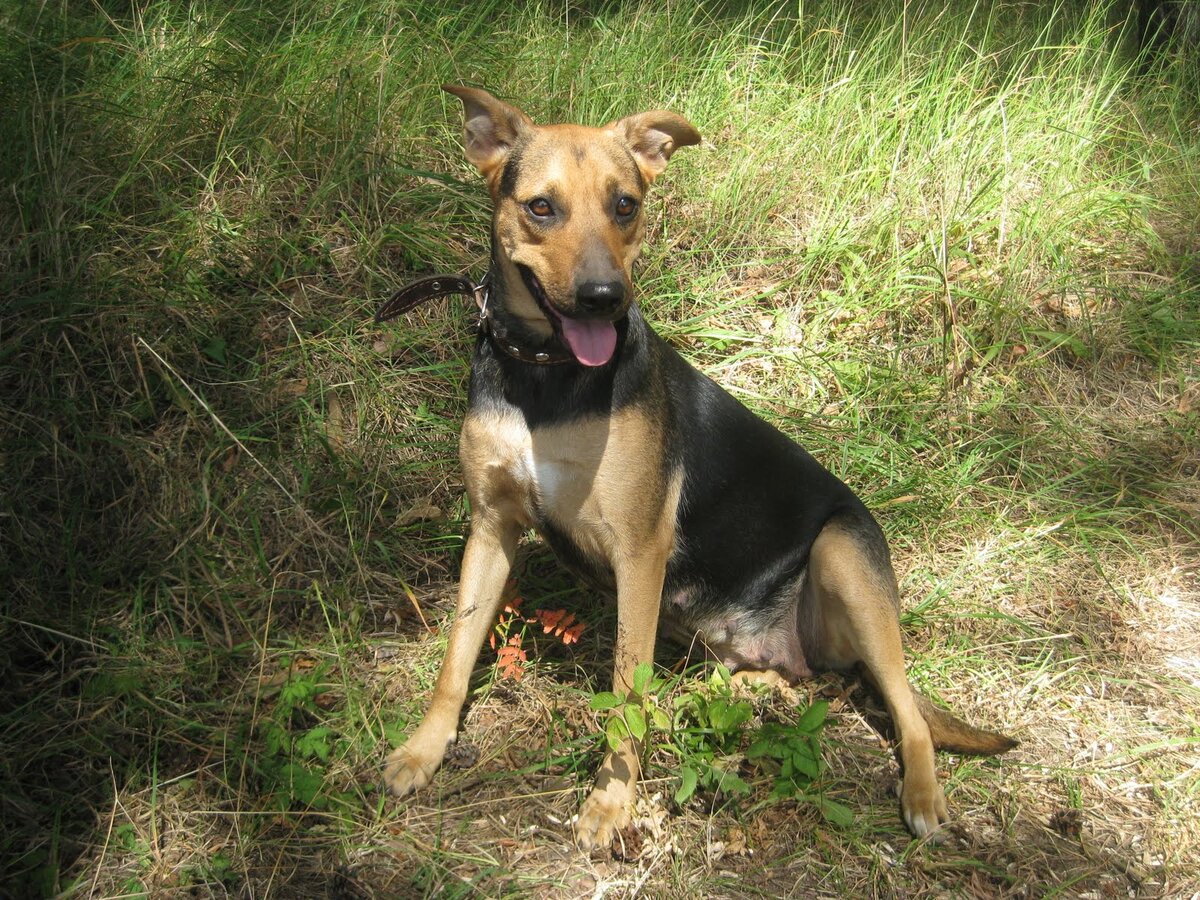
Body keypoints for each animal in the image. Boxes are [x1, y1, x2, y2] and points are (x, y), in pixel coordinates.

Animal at [381, 86, 1012, 854]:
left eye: (625, 204)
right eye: (541, 207)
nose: (605, 297)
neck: (547, 380)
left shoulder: (639, 550)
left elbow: (625, 693)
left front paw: (611, 802)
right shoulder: (491, 527)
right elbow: (455, 655)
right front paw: (423, 749)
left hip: (844, 554)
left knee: (909, 711)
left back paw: (922, 796)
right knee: (785, 680)